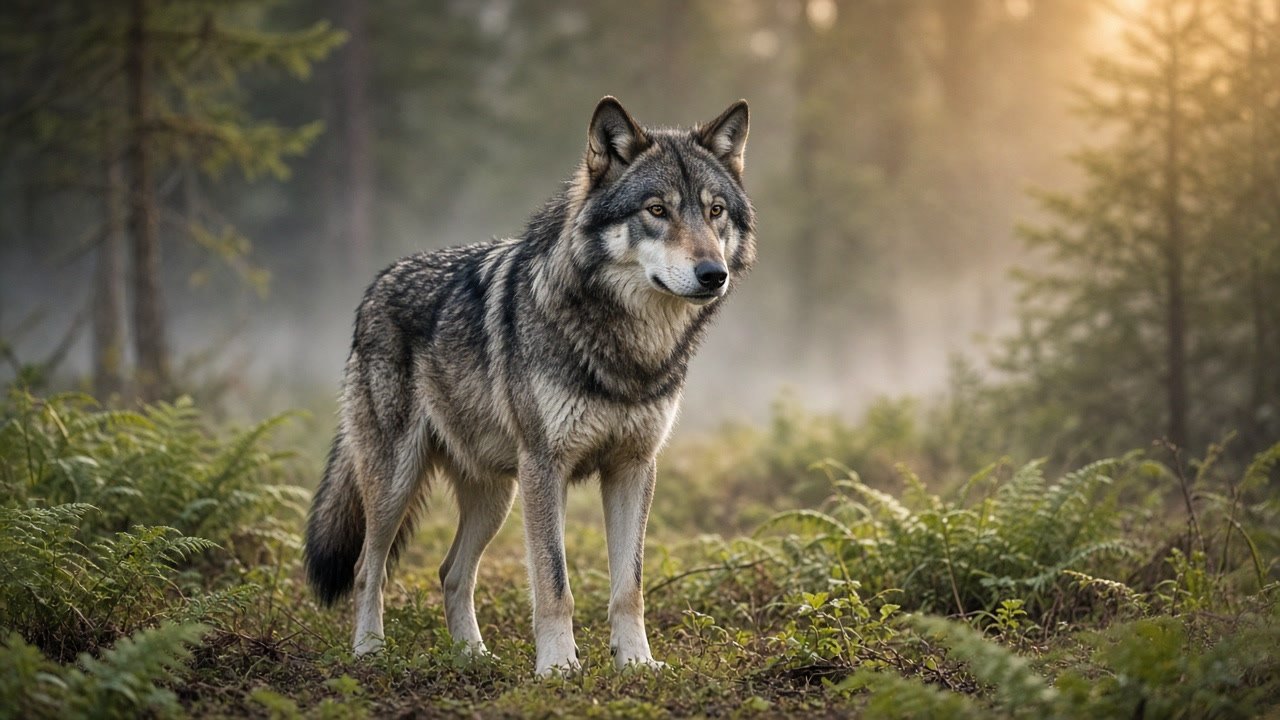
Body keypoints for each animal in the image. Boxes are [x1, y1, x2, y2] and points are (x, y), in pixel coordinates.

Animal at [303, 96, 755, 676]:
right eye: (657, 210)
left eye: (715, 211)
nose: (712, 274)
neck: (627, 351)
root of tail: (378, 283)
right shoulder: (546, 468)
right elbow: (553, 583)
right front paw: (558, 668)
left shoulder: (633, 468)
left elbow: (628, 587)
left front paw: (635, 663)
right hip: (397, 483)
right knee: (368, 567)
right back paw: (370, 651)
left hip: (496, 495)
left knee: (451, 572)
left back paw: (473, 657)